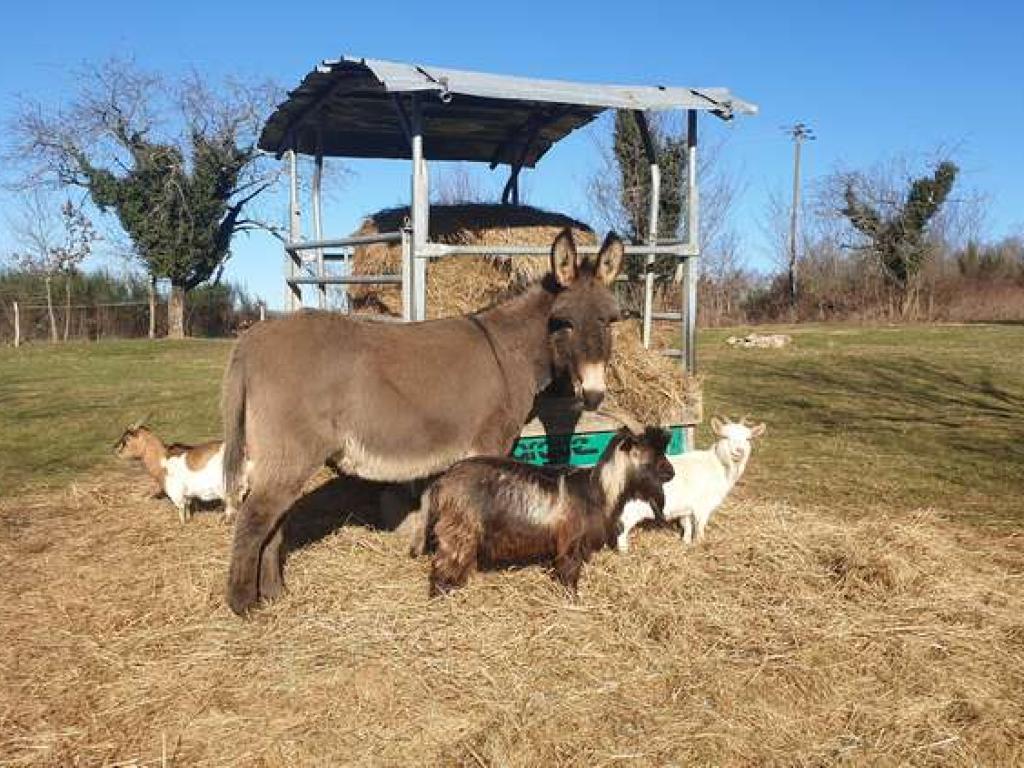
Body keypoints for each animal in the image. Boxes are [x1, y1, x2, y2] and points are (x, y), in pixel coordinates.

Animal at [423, 430, 671, 598]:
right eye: (653, 457)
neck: (597, 490)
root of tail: (442, 482)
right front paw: (572, 600)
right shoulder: (570, 542)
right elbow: (569, 572)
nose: (672, 472)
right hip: (459, 528)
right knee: (444, 563)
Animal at [610, 417, 765, 548]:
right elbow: (700, 526)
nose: (739, 451)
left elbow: (687, 525)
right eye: (725, 437)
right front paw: (700, 542)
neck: (718, 465)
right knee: (621, 529)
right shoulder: (703, 506)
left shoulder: (687, 507)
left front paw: (686, 541)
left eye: (748, 439)